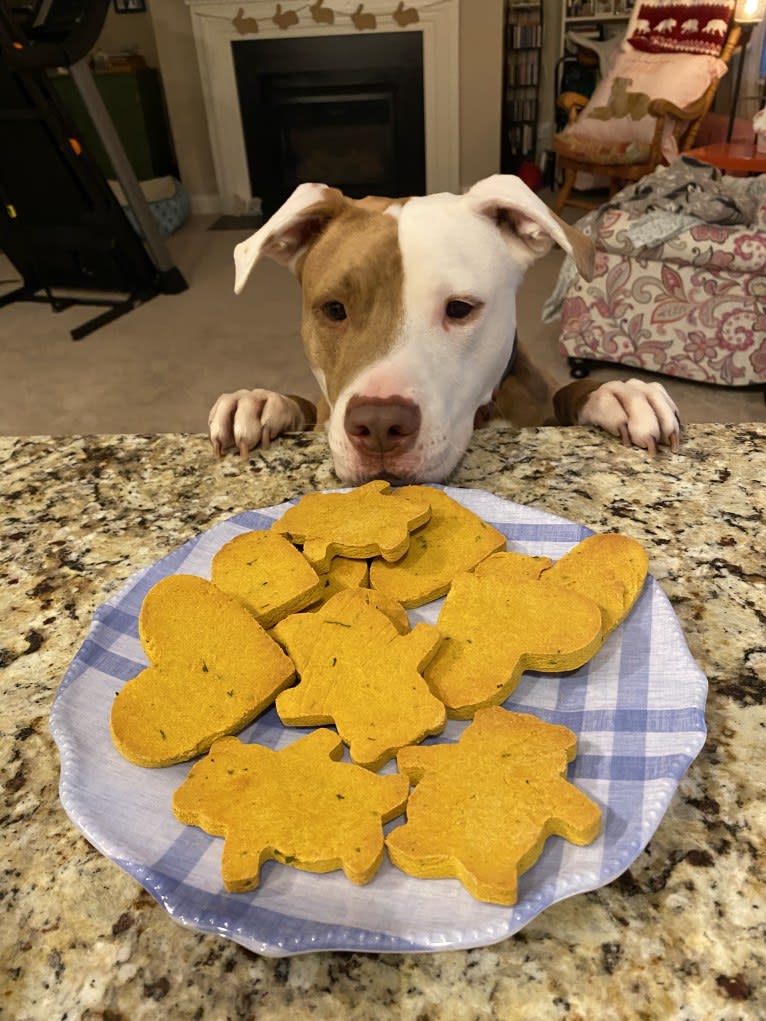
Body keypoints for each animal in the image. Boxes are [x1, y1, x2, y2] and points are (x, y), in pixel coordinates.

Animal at [207, 174, 682, 481]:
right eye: (334, 309)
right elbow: (304, 408)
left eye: (459, 309)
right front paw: (258, 403)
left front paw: (617, 393)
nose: (379, 425)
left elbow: (568, 394)